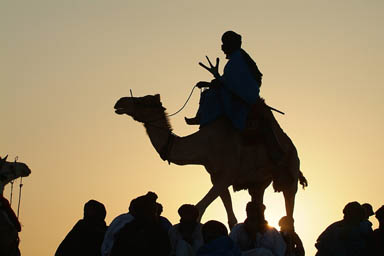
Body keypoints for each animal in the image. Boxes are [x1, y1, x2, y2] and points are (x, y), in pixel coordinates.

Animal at [113, 94, 306, 230]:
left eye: (143, 100)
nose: (119, 102)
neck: (205, 146)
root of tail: (293, 147)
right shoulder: (216, 177)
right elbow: (231, 219)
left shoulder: (227, 175)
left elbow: (199, 208)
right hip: (259, 182)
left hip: (290, 172)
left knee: (290, 212)